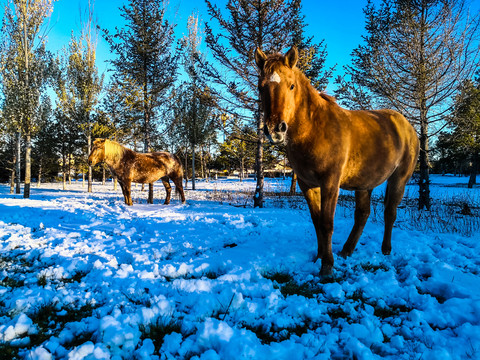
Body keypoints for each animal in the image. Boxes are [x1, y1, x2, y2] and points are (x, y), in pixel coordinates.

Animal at [256, 47, 418, 276]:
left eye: (291, 85)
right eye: (261, 87)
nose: (275, 130)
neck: (315, 129)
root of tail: (406, 125)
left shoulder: (330, 183)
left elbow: (327, 223)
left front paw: (327, 266)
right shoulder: (307, 185)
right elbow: (317, 222)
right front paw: (319, 257)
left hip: (399, 179)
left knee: (389, 213)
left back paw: (385, 250)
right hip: (364, 183)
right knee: (362, 215)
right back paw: (347, 251)